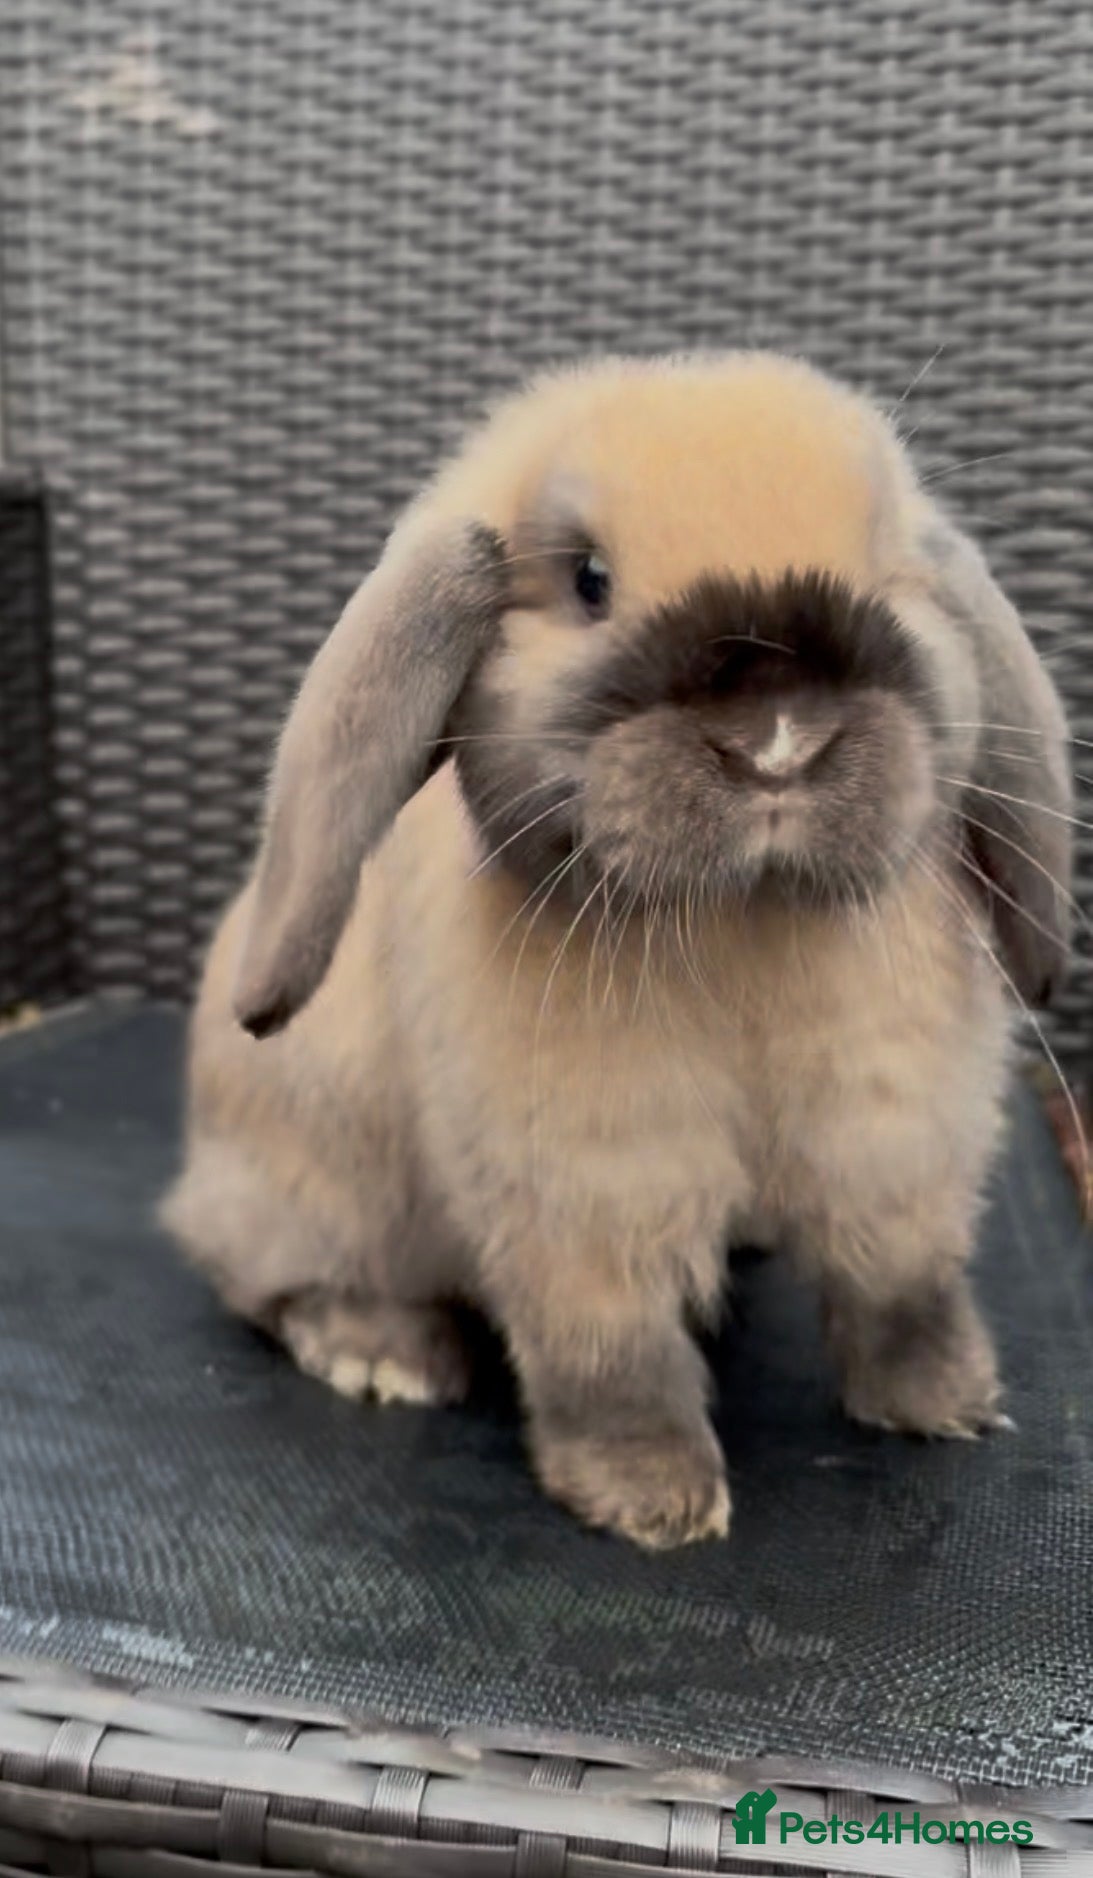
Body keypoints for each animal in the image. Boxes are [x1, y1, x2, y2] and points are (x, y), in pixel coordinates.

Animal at [162, 352, 1072, 1550]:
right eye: (589, 580)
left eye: (886, 570)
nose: (777, 739)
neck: (740, 920)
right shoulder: (586, 1186)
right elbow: (610, 1351)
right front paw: (652, 1500)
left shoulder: (891, 1134)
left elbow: (901, 1281)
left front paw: (947, 1402)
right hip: (310, 1185)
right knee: (263, 1275)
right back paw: (383, 1353)